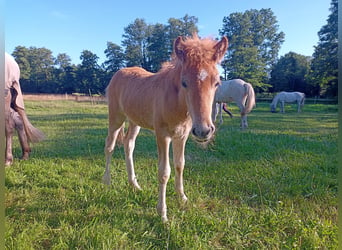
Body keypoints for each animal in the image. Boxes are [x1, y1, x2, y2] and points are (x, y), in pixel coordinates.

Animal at [103, 34, 228, 222]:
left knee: (128, 145)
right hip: (116, 117)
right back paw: (107, 181)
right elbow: (164, 172)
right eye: (184, 82)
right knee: (109, 145)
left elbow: (180, 164)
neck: (176, 102)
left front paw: (182, 197)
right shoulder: (162, 135)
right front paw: (162, 214)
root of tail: (118, 73)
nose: (203, 131)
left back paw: (134, 184)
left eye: (217, 82)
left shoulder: (181, 136)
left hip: (134, 121)